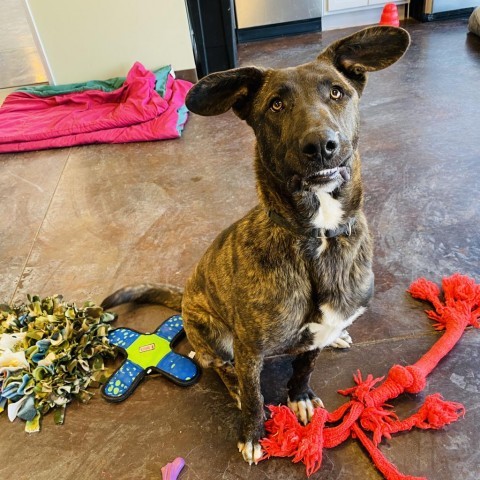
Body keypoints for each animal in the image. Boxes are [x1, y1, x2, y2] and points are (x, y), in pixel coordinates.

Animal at [101, 25, 408, 464]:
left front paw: (300, 397)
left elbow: (304, 366)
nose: (321, 145)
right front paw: (253, 431)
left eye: (337, 92)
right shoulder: (249, 350)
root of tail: (185, 298)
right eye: (276, 105)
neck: (318, 237)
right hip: (212, 333)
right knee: (215, 364)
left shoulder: (313, 336)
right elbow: (254, 395)